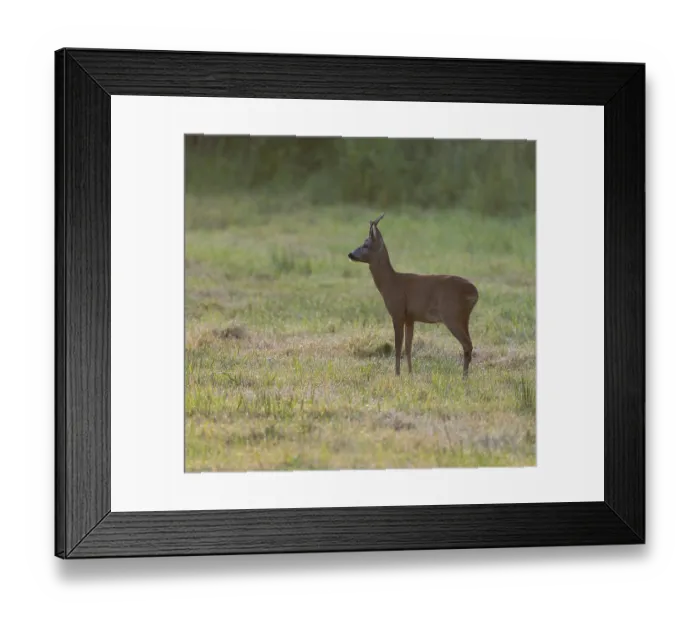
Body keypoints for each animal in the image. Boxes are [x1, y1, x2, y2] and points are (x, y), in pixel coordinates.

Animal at [348, 213, 479, 378]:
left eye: (365, 244)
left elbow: (398, 347)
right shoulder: (410, 318)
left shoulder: (397, 313)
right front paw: (410, 373)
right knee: (469, 344)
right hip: (463, 317)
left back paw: (464, 377)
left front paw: (397, 374)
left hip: (452, 315)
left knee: (467, 344)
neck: (390, 283)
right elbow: (408, 347)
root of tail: (475, 292)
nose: (350, 254)